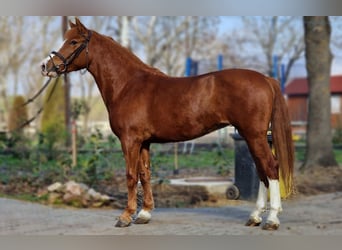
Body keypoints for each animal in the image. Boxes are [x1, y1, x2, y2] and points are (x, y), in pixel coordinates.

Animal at [40, 18, 294, 231]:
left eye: (73, 41)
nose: (46, 66)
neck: (128, 85)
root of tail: (266, 79)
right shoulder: (144, 142)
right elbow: (145, 174)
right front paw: (144, 214)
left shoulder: (129, 140)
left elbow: (130, 176)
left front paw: (126, 216)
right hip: (252, 136)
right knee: (262, 171)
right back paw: (255, 216)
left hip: (254, 135)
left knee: (271, 168)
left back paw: (271, 219)